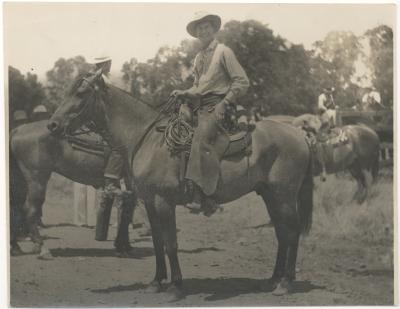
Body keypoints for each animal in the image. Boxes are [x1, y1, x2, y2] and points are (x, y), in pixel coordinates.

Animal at [8, 119, 134, 258]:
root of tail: (18, 130)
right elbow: (127, 212)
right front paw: (122, 246)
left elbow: (127, 212)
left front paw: (124, 246)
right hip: (37, 180)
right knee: (29, 210)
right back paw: (42, 248)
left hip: (20, 181)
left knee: (15, 209)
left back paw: (16, 247)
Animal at [47, 71, 316, 298]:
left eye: (81, 93)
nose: (52, 125)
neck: (148, 139)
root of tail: (299, 134)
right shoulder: (149, 202)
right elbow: (157, 243)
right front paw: (156, 282)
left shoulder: (164, 202)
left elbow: (170, 244)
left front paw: (175, 287)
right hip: (270, 195)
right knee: (282, 233)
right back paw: (272, 280)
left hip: (283, 195)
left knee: (292, 232)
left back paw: (285, 283)